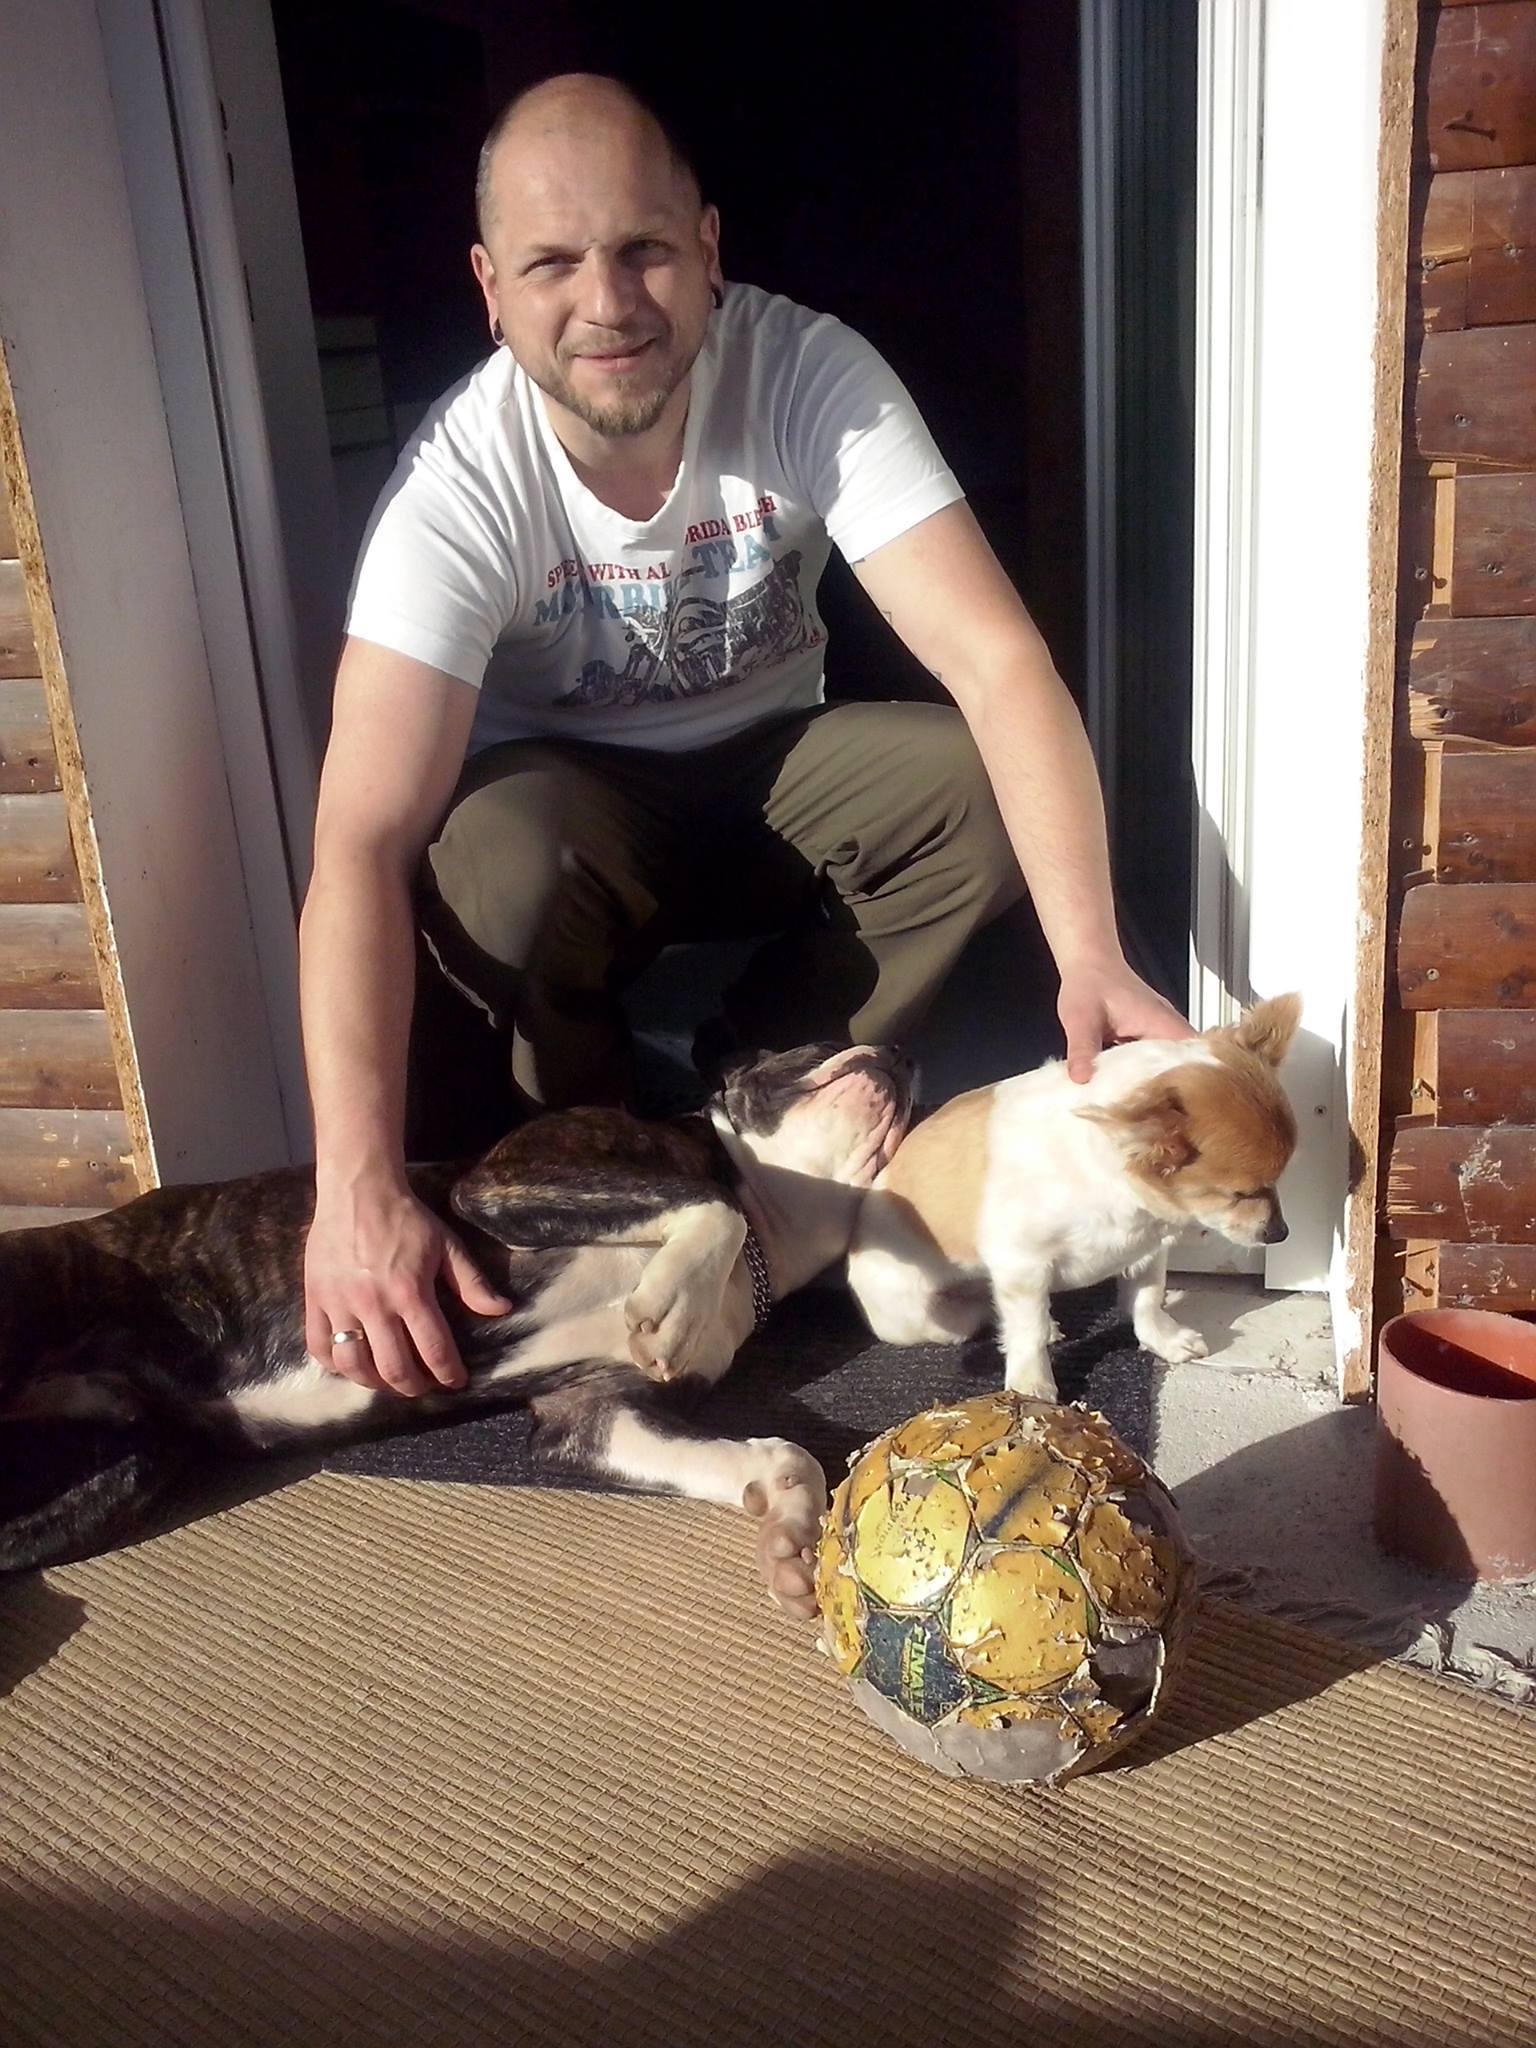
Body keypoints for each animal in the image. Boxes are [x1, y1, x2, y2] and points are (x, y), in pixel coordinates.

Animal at [0, 1042, 913, 1605]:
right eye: (816, 1040)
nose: (905, 1056)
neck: (772, 1235)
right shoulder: (510, 1180)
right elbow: (709, 1203)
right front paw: (670, 1300)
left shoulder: (592, 1415)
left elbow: (780, 1457)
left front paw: (790, 1542)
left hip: (126, 1472)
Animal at [845, 995, 1301, 1400]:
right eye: (1240, 1194)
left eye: (1279, 1182)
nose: (1279, 1233)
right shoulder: (1022, 1264)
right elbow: (1026, 1331)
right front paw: (1032, 1383)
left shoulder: (1148, 1249)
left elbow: (1147, 1299)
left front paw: (1162, 1339)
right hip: (926, 1317)